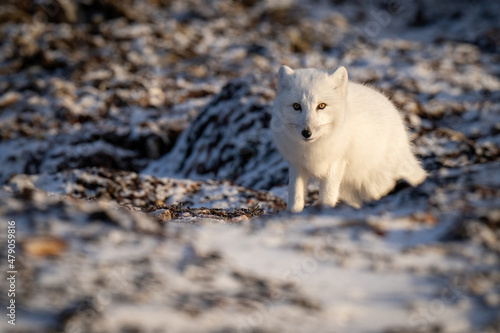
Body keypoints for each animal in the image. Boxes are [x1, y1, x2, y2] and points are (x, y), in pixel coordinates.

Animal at [272, 66, 428, 211]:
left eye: (321, 105)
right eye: (296, 106)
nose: (306, 132)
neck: (312, 149)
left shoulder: (337, 163)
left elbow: (327, 196)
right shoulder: (297, 165)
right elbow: (295, 197)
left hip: (376, 185)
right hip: (349, 191)